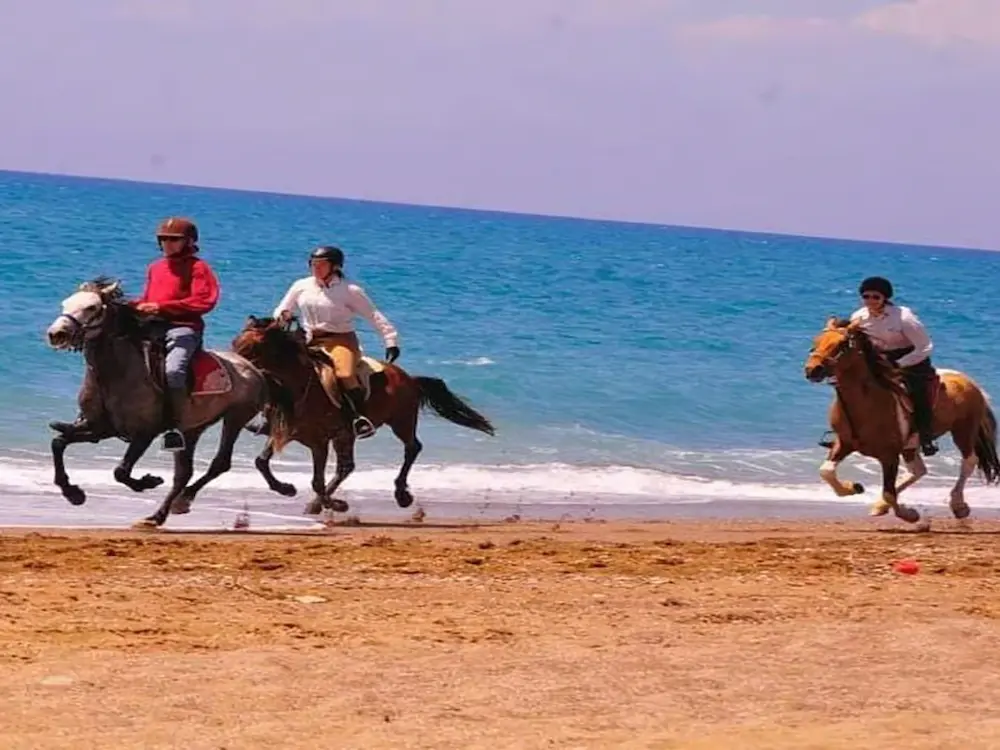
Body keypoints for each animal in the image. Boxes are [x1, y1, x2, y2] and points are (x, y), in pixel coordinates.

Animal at [44, 277, 293, 527]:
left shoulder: (144, 433)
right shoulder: (100, 429)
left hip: (235, 418)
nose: (56, 334)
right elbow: (58, 443)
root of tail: (255, 369)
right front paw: (73, 493)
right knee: (184, 472)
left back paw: (181, 502)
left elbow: (120, 471)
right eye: (65, 304)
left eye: (92, 307)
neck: (116, 374)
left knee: (219, 462)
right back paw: (159, 514)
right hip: (192, 429)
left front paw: (148, 481)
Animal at [230, 315, 497, 515]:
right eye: (235, 343)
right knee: (346, 467)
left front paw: (336, 504)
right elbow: (261, 462)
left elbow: (316, 480)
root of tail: (410, 378)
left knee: (412, 448)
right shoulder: (283, 432)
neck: (299, 387)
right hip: (348, 435)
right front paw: (287, 488)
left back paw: (401, 495)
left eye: (251, 347)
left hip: (400, 421)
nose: (235, 365)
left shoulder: (319, 442)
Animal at [804, 316, 1000, 523]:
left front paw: (909, 514)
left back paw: (958, 505)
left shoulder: (889, 455)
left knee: (969, 461)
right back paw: (880, 506)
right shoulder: (844, 444)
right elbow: (826, 471)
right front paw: (853, 487)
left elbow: (889, 492)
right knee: (919, 470)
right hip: (912, 445)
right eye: (816, 341)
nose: (812, 370)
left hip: (963, 431)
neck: (867, 402)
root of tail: (970, 382)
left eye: (842, 344)